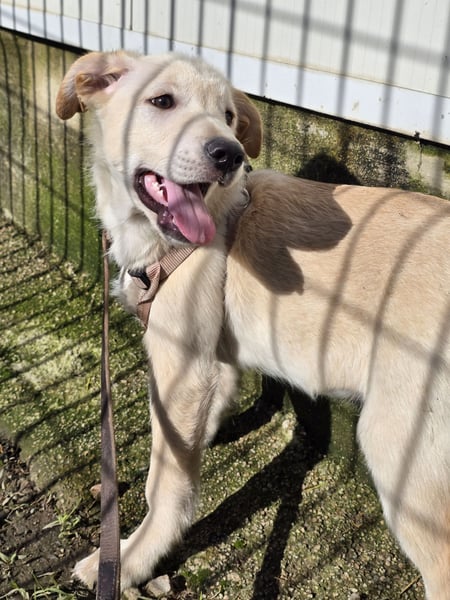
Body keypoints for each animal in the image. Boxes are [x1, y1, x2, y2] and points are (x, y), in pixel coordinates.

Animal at [56, 51, 450, 598]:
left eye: (227, 116)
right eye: (162, 101)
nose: (230, 154)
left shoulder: (182, 363)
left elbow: (166, 484)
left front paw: (133, 560)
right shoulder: (212, 362)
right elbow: (193, 433)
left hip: (403, 451)